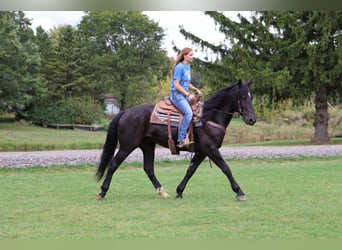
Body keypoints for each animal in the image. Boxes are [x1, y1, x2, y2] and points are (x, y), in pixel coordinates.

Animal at [95, 80, 255, 201]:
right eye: (242, 96)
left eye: (251, 97)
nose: (252, 119)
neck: (209, 118)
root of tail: (125, 112)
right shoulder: (211, 149)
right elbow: (226, 168)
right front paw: (239, 192)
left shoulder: (202, 152)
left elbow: (190, 170)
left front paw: (179, 191)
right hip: (127, 146)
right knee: (113, 164)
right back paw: (102, 192)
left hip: (147, 145)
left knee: (148, 169)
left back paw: (163, 192)